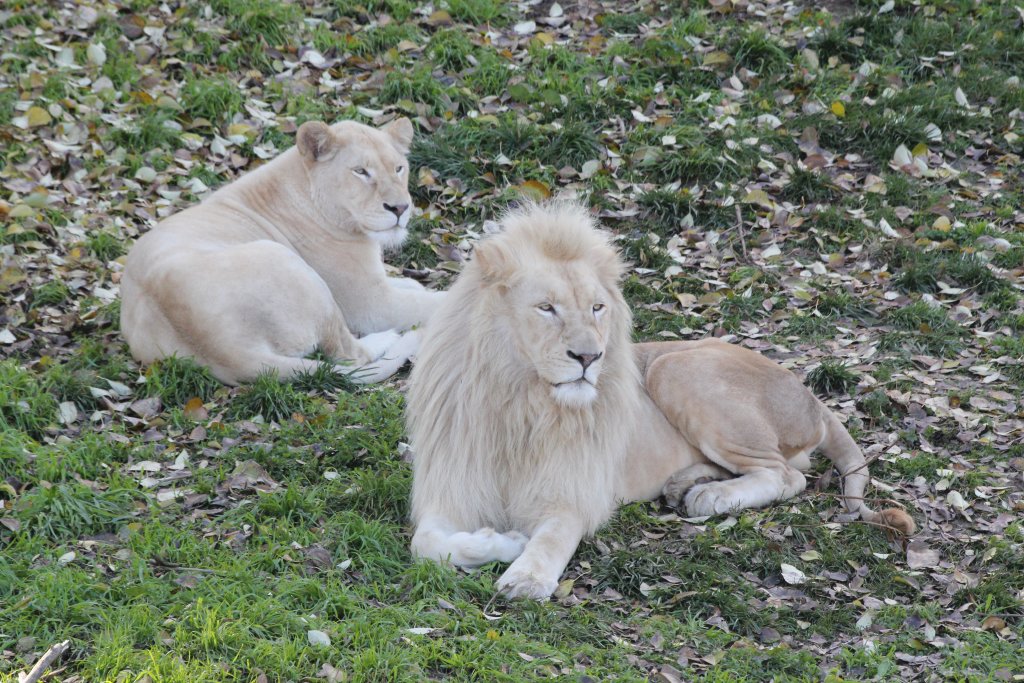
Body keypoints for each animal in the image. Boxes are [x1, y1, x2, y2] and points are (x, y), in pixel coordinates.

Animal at [120, 118, 443, 386]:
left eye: (398, 168)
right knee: (349, 354)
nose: (400, 208)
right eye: (361, 172)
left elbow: (413, 286)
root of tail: (232, 354)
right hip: (288, 264)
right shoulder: (370, 303)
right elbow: (431, 303)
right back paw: (392, 336)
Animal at [407, 201, 915, 600]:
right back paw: (684, 484)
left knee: (788, 475)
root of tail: (814, 398)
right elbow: (426, 544)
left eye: (597, 308)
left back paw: (709, 496)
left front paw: (526, 574)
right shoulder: (449, 489)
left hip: (676, 368)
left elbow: (552, 537)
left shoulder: (573, 494)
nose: (589, 357)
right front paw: (504, 541)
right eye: (546, 308)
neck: (521, 404)